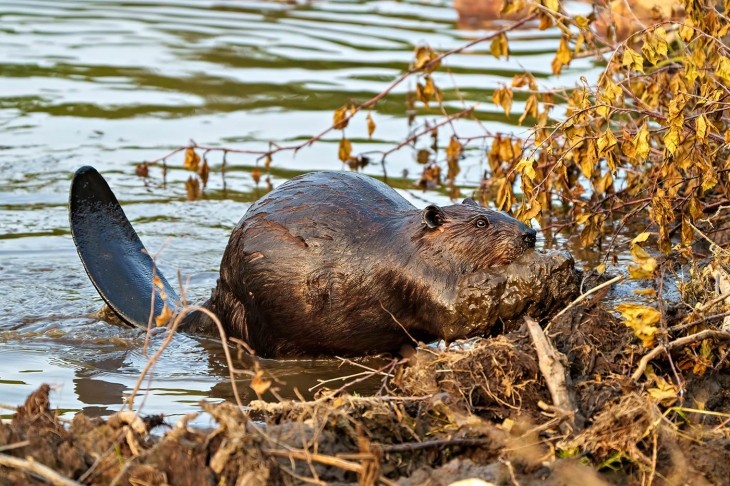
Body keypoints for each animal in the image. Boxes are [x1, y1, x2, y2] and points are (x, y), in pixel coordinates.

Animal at [71, 169, 536, 358]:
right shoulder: (410, 273)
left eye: (499, 211)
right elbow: (450, 312)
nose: (529, 234)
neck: (403, 241)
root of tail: (210, 303)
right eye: (481, 222)